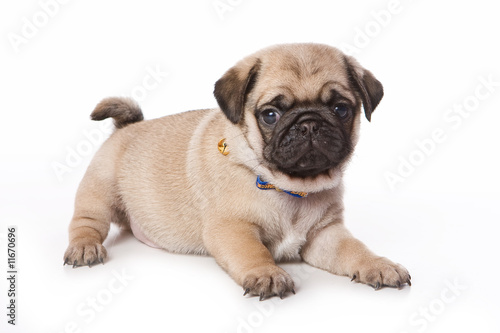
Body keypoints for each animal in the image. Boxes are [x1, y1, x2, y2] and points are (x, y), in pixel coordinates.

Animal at [64, 42, 412, 300]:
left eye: (341, 109)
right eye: (270, 114)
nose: (310, 123)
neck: (291, 188)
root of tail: (128, 126)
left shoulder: (326, 235)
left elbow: (355, 249)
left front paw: (378, 264)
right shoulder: (232, 228)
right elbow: (252, 252)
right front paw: (267, 273)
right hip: (100, 191)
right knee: (86, 222)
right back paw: (84, 247)